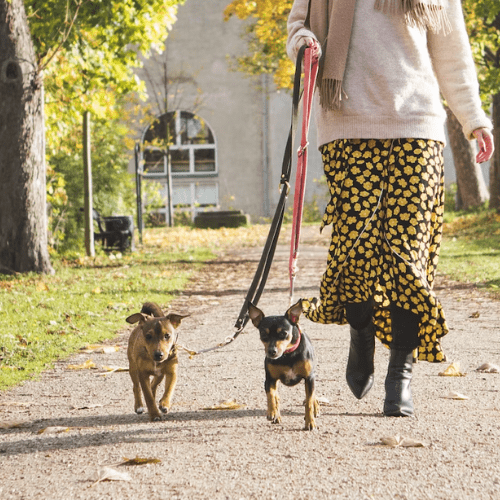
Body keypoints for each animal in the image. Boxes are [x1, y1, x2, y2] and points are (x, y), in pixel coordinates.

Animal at [247, 298, 320, 432]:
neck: (288, 355)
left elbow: (308, 401)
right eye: (263, 334)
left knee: (312, 395)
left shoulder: (309, 378)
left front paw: (310, 422)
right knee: (276, 396)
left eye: (283, 333)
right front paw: (272, 412)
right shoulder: (270, 379)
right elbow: (271, 395)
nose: (272, 351)